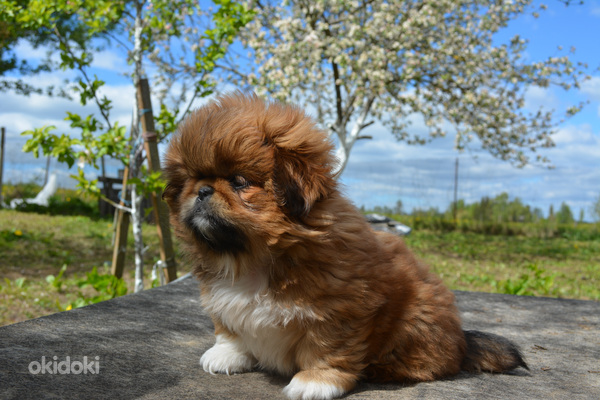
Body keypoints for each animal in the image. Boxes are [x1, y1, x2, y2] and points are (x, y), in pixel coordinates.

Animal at [162, 93, 528, 400]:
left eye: (239, 182)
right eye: (191, 179)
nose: (203, 190)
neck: (253, 258)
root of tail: (461, 341)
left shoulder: (339, 312)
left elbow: (327, 348)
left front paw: (316, 381)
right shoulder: (222, 300)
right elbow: (229, 328)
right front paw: (228, 354)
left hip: (417, 319)